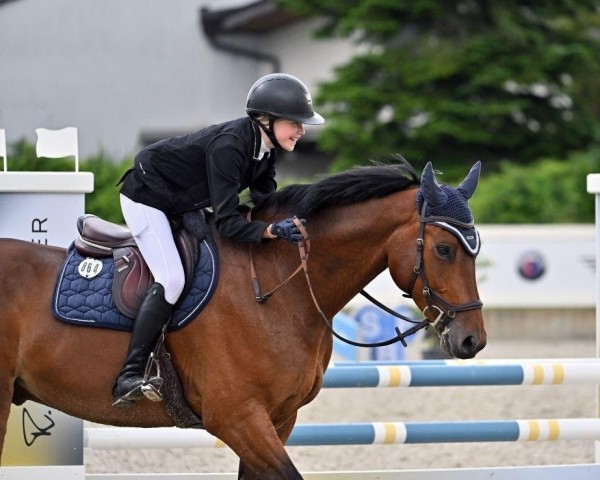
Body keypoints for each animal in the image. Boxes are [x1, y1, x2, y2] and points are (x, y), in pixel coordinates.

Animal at [0, 158, 486, 476]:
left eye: (476, 248)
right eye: (444, 249)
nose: (472, 341)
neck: (279, 287)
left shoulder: (277, 419)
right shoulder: (237, 418)